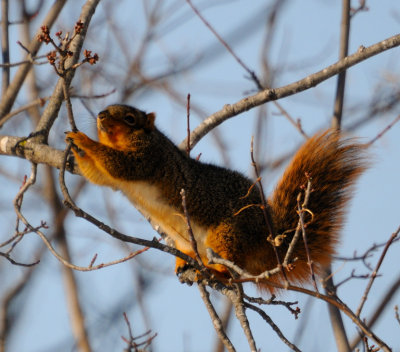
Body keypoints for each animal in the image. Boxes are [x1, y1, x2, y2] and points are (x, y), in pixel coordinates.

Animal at [67, 104, 368, 292]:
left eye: (130, 118)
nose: (101, 114)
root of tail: (268, 239)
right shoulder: (114, 179)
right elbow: (99, 175)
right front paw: (76, 150)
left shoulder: (149, 155)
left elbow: (120, 164)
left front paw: (83, 141)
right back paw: (185, 262)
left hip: (227, 233)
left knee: (233, 269)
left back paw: (216, 272)